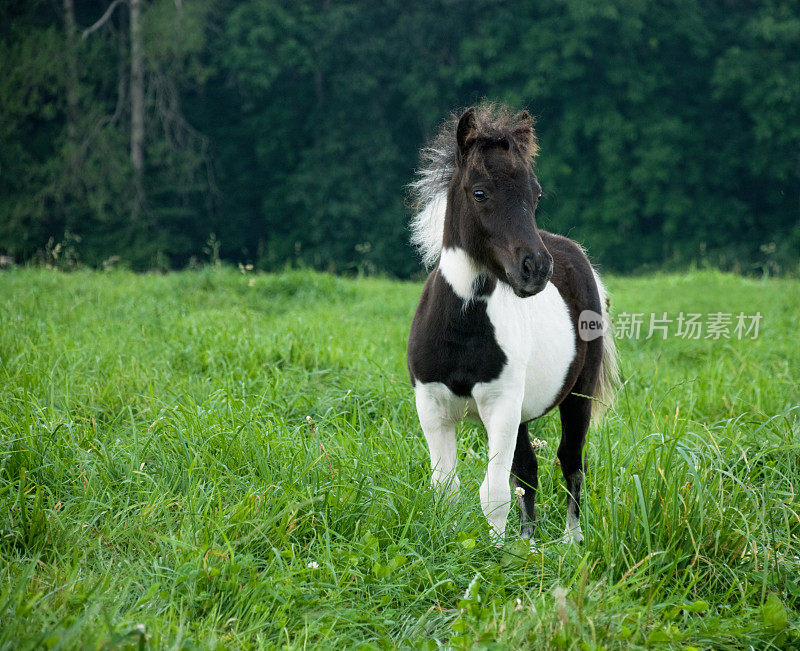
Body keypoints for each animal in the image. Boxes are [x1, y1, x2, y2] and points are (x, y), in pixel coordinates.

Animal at [406, 105, 620, 544]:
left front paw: (497, 551)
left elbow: (494, 492)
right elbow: (447, 488)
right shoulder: (432, 408)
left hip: (578, 394)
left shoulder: (500, 406)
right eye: (480, 192)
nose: (535, 269)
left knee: (571, 462)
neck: (462, 330)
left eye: (535, 194)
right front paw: (453, 545)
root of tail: (574, 253)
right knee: (529, 470)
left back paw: (571, 540)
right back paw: (529, 540)